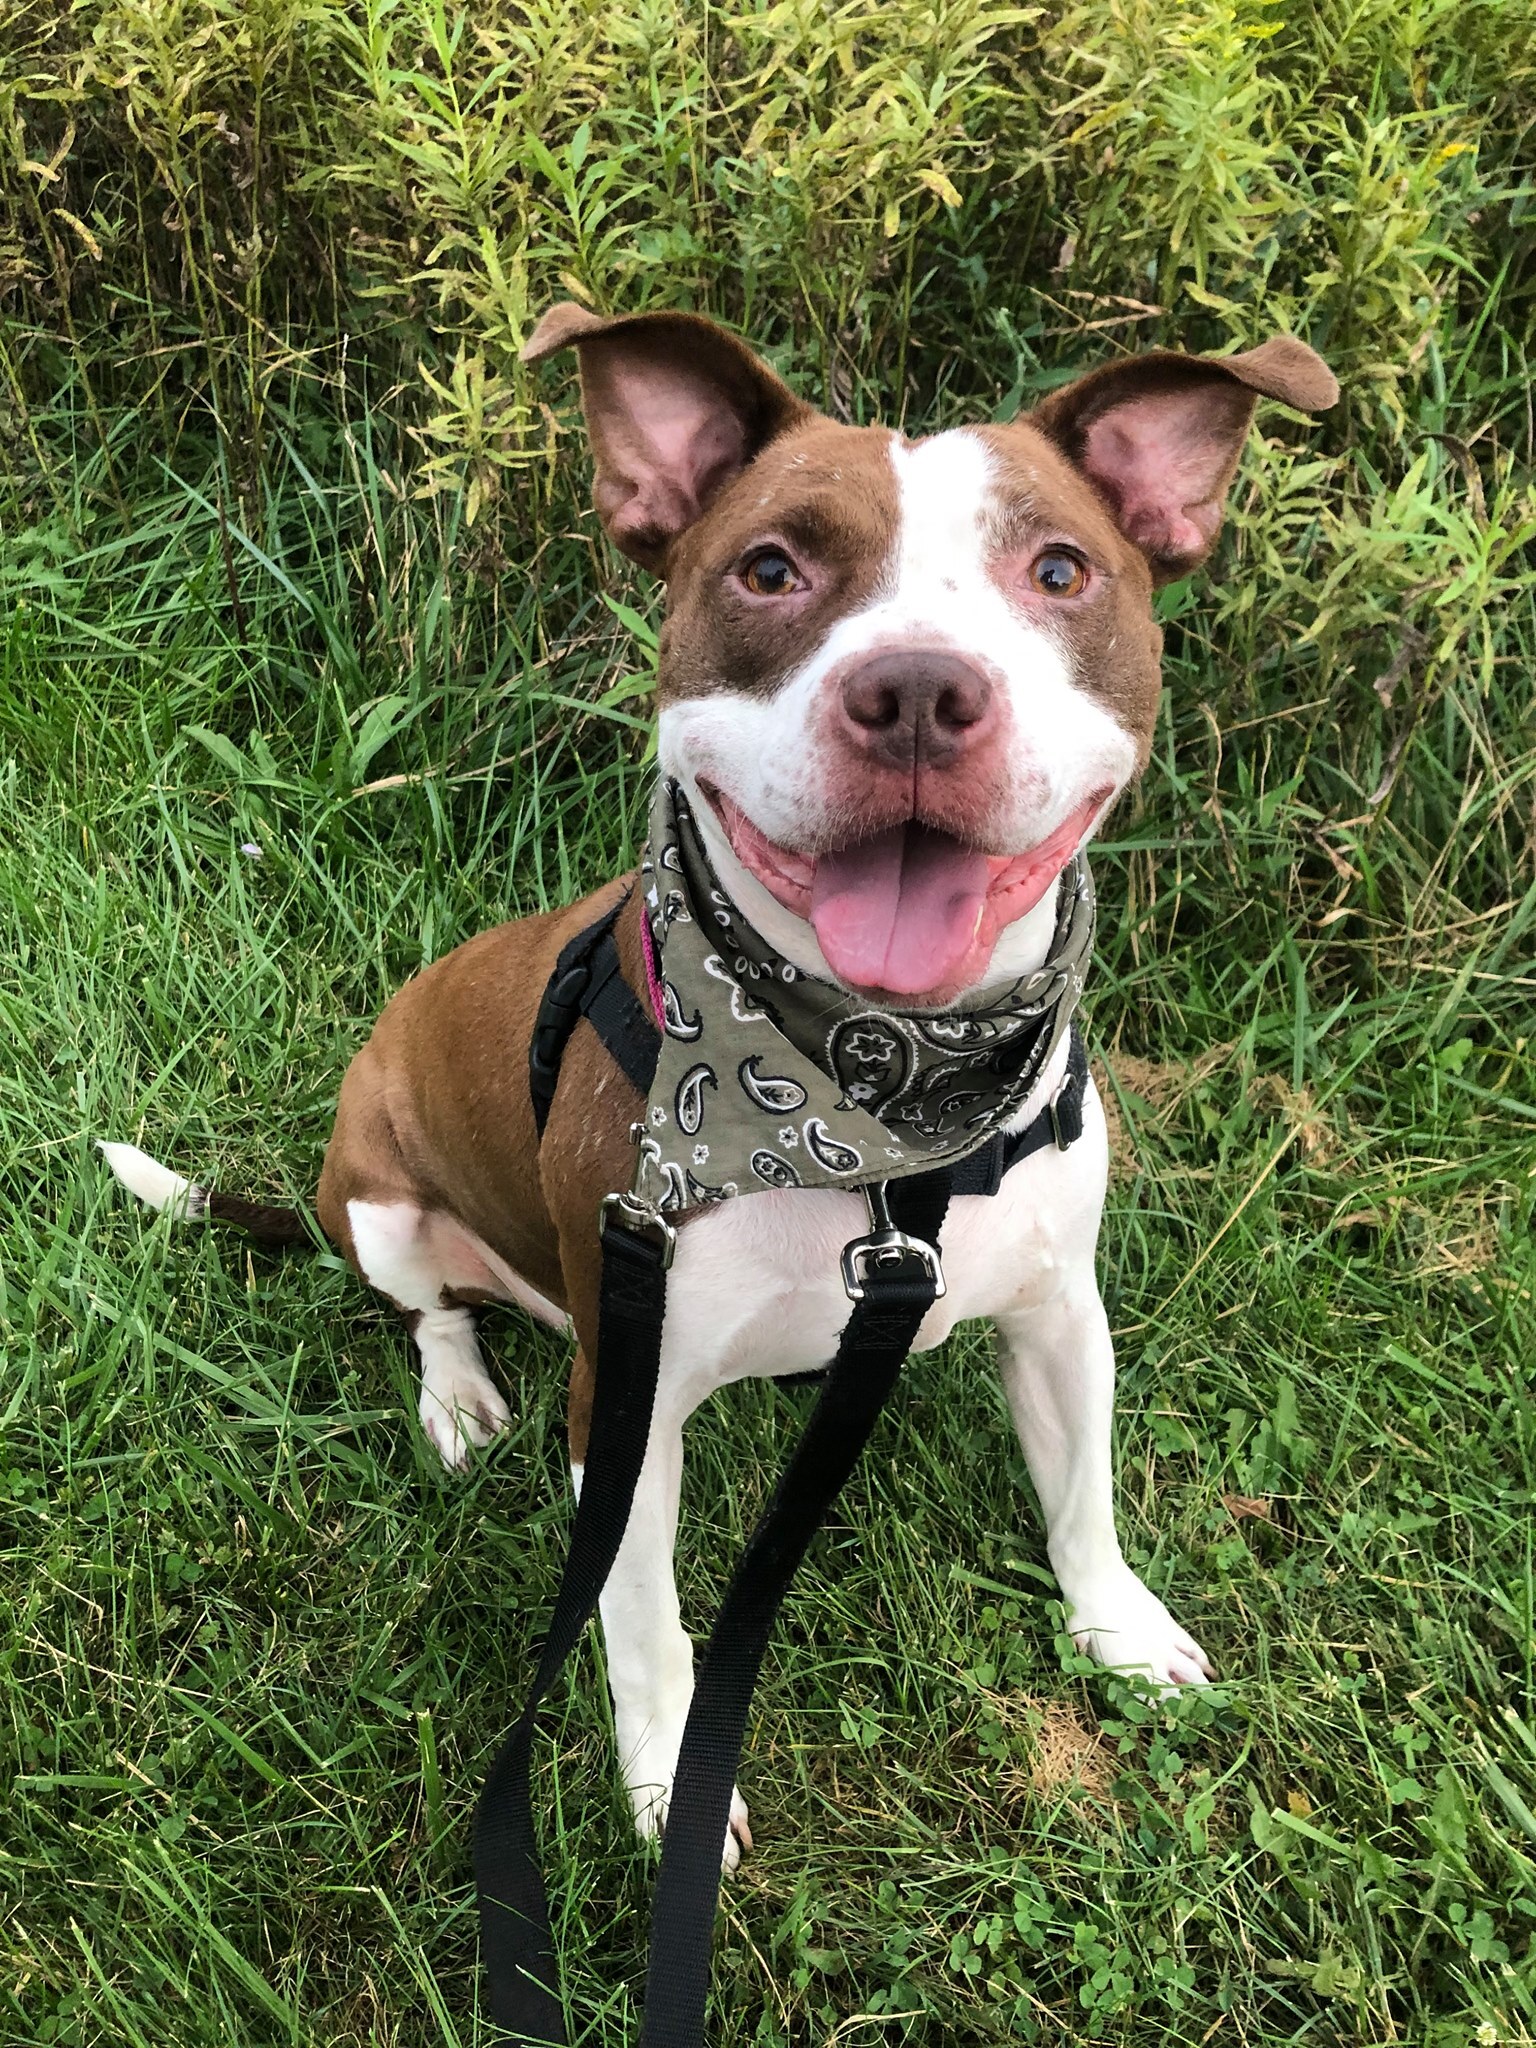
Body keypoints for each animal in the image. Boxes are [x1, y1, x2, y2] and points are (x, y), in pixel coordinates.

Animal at [102, 307, 1343, 1875]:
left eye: (1060, 570)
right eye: (771, 568)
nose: (919, 692)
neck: (879, 1102)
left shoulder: (1063, 1311)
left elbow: (1084, 1493)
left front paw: (1118, 1627)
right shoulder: (623, 1416)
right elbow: (643, 1630)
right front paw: (662, 1787)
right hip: (378, 1189)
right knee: (427, 1306)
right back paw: (458, 1397)